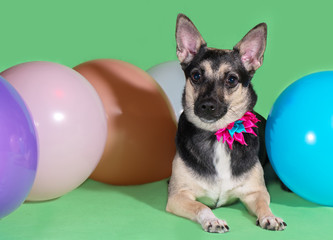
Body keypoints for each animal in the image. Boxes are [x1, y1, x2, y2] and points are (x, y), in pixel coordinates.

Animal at [166, 13, 286, 232]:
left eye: (231, 80)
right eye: (196, 76)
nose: (207, 105)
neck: (217, 134)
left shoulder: (255, 192)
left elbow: (264, 204)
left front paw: (270, 217)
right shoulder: (178, 196)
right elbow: (201, 206)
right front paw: (212, 220)